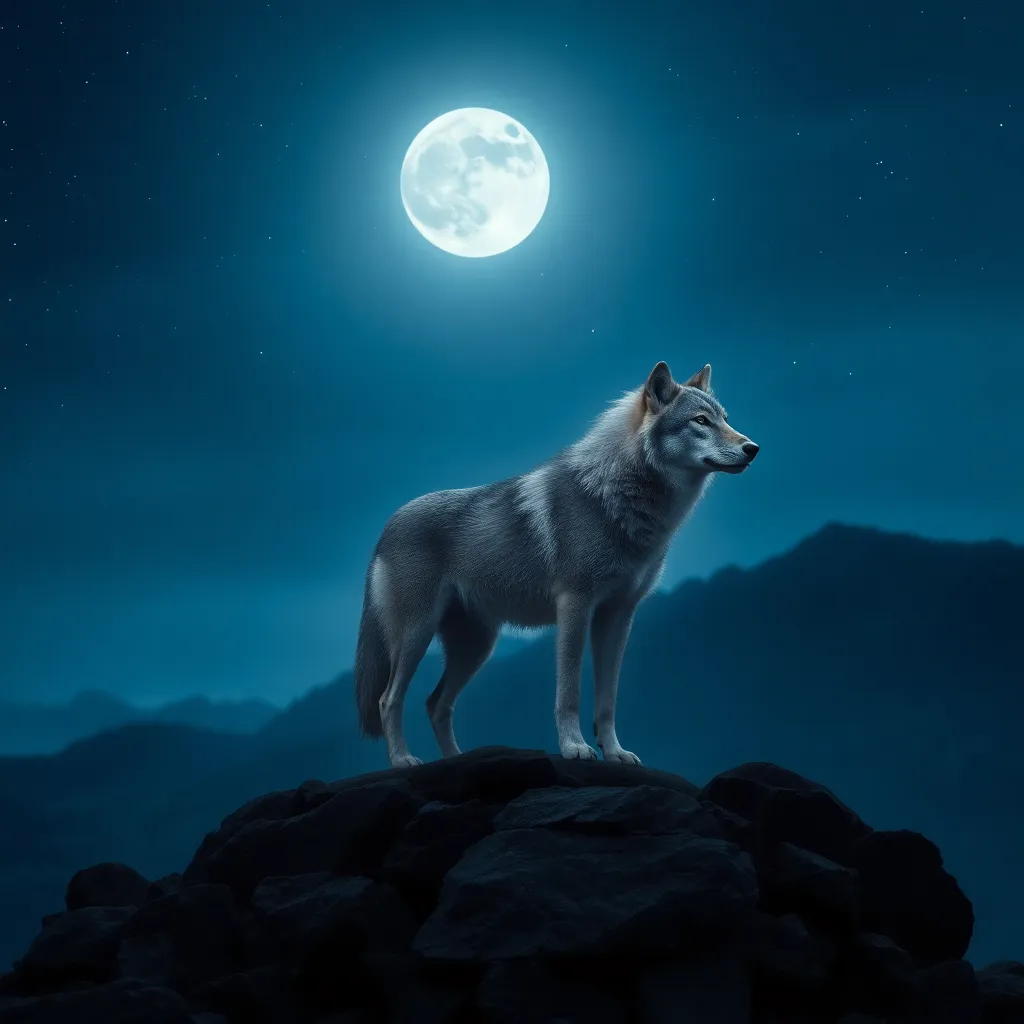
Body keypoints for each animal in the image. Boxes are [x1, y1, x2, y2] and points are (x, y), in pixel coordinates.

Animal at [354, 361, 759, 768]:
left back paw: (458, 759)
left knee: (436, 703)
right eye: (700, 421)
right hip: (418, 635)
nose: (752, 448)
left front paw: (614, 752)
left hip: (476, 647)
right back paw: (403, 760)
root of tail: (386, 528)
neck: (615, 496)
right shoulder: (575, 607)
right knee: (389, 699)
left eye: (725, 419)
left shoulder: (618, 616)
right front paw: (574, 747)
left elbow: (608, 700)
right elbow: (569, 693)